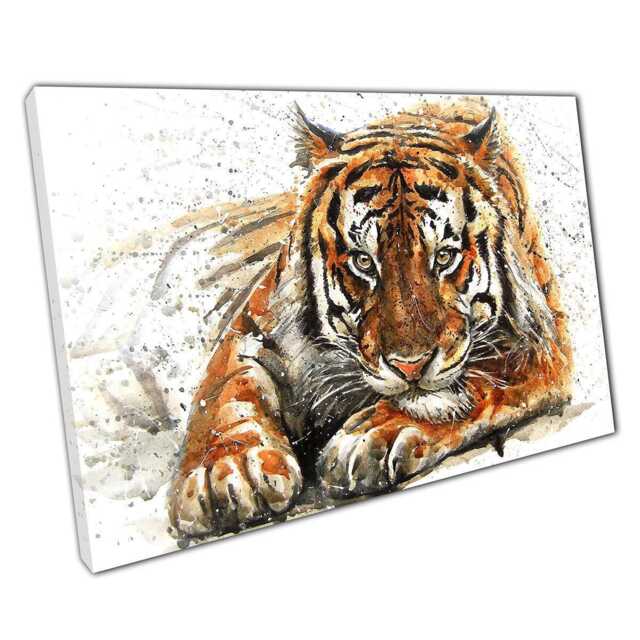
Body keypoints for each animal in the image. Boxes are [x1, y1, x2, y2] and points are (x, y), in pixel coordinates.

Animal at [168, 96, 572, 537]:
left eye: (444, 257)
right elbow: (224, 393)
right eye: (364, 261)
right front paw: (226, 470)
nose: (410, 366)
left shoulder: (542, 344)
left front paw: (373, 437)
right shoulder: (253, 326)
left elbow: (473, 385)